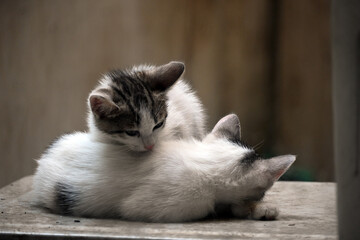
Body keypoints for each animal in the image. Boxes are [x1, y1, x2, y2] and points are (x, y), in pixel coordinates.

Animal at [32, 113, 294, 222]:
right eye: (263, 191)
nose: (262, 199)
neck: (203, 161)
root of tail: (43, 160)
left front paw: (259, 210)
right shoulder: (181, 204)